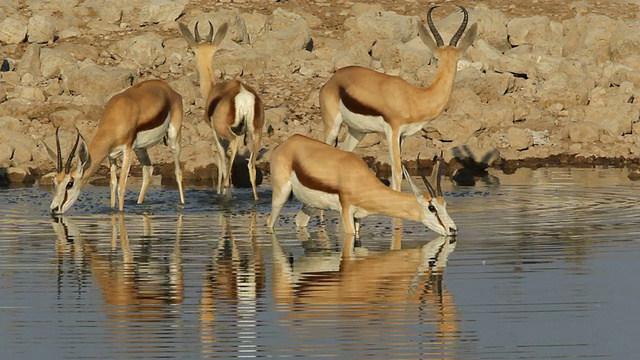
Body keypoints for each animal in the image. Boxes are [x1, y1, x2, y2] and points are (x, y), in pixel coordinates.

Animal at [48, 79, 184, 214]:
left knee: (178, 172)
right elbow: (113, 185)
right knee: (148, 170)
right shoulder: (111, 155)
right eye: (54, 182)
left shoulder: (127, 150)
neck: (116, 118)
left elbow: (121, 186)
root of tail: (169, 89)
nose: (54, 208)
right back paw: (139, 204)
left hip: (173, 138)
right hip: (140, 148)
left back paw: (182, 204)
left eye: (70, 184)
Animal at [179, 21, 264, 201]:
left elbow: (220, 158)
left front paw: (219, 191)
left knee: (233, 148)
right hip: (256, 133)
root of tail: (243, 94)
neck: (213, 90)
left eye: (192, 50)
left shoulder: (215, 132)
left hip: (227, 132)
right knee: (251, 166)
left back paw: (226, 188)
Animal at [268, 134, 458, 236]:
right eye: (431, 208)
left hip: (310, 205)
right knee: (270, 222)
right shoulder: (346, 211)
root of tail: (286, 143)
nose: (453, 230)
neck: (359, 180)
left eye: (445, 205)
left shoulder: (358, 217)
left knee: (299, 221)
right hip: (281, 195)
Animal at [320, 4, 476, 191]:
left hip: (358, 131)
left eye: (457, 58)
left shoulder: (403, 136)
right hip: (333, 127)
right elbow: (397, 172)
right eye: (436, 58)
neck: (415, 97)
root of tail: (333, 79)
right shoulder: (392, 132)